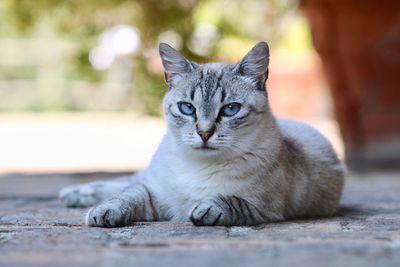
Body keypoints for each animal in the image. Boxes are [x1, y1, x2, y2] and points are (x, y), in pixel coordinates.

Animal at [58, 42, 344, 228]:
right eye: (187, 108)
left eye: (230, 110)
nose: (204, 133)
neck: (198, 166)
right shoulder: (157, 193)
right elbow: (127, 196)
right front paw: (103, 212)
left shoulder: (264, 209)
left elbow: (228, 201)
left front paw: (204, 209)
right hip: (149, 175)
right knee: (126, 181)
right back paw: (74, 195)